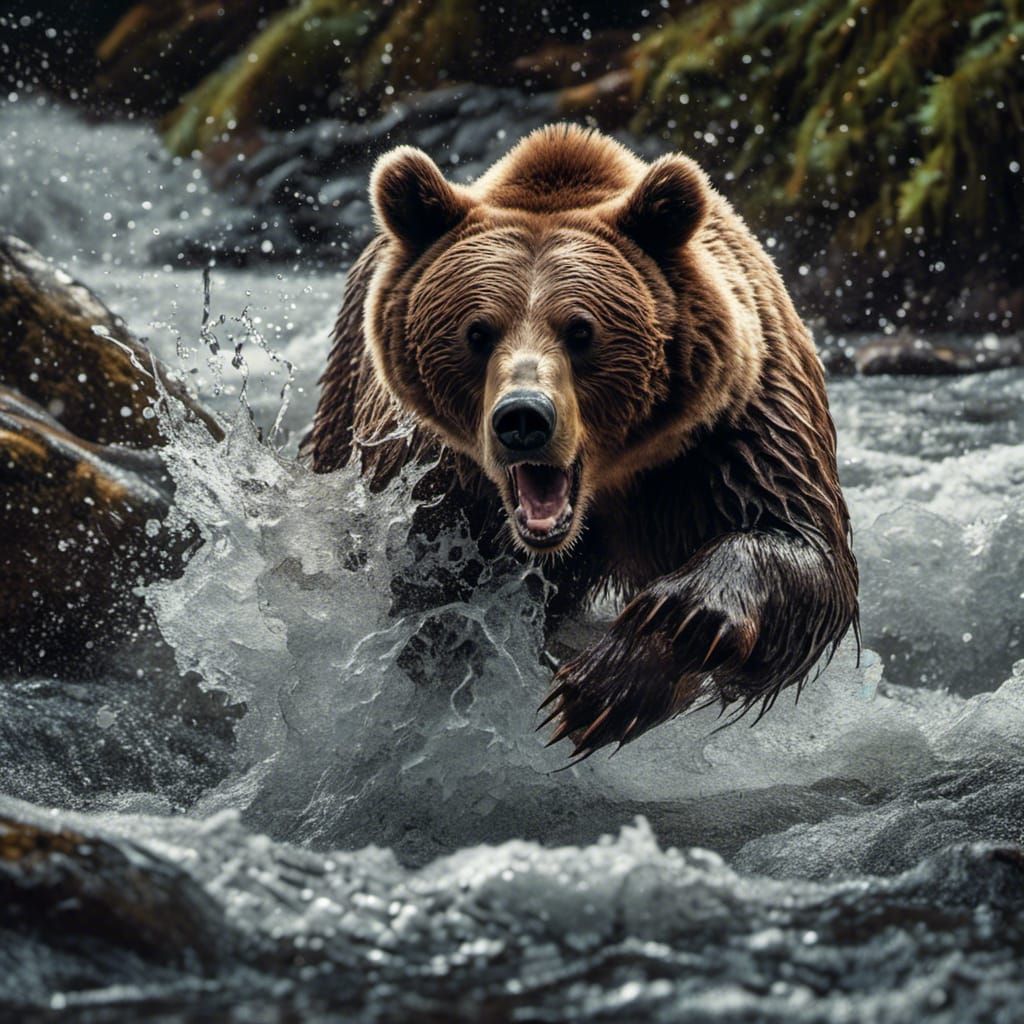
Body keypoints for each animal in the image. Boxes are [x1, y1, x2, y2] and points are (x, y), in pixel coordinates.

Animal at [305, 124, 859, 761]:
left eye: (581, 330)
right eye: (477, 332)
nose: (524, 418)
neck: (608, 486)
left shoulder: (731, 435)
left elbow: (803, 547)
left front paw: (619, 672)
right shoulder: (437, 478)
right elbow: (433, 597)